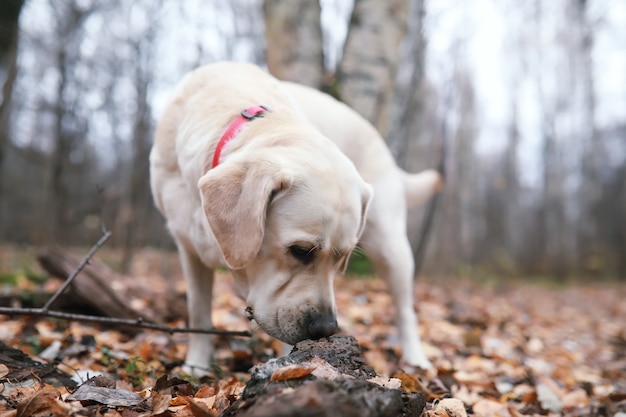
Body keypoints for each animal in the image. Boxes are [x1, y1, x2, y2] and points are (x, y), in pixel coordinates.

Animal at [149, 60, 442, 372]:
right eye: (300, 250)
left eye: (341, 257)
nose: (325, 329)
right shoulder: (188, 246)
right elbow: (198, 311)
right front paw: (197, 366)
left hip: (390, 246)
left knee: (405, 309)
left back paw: (416, 359)